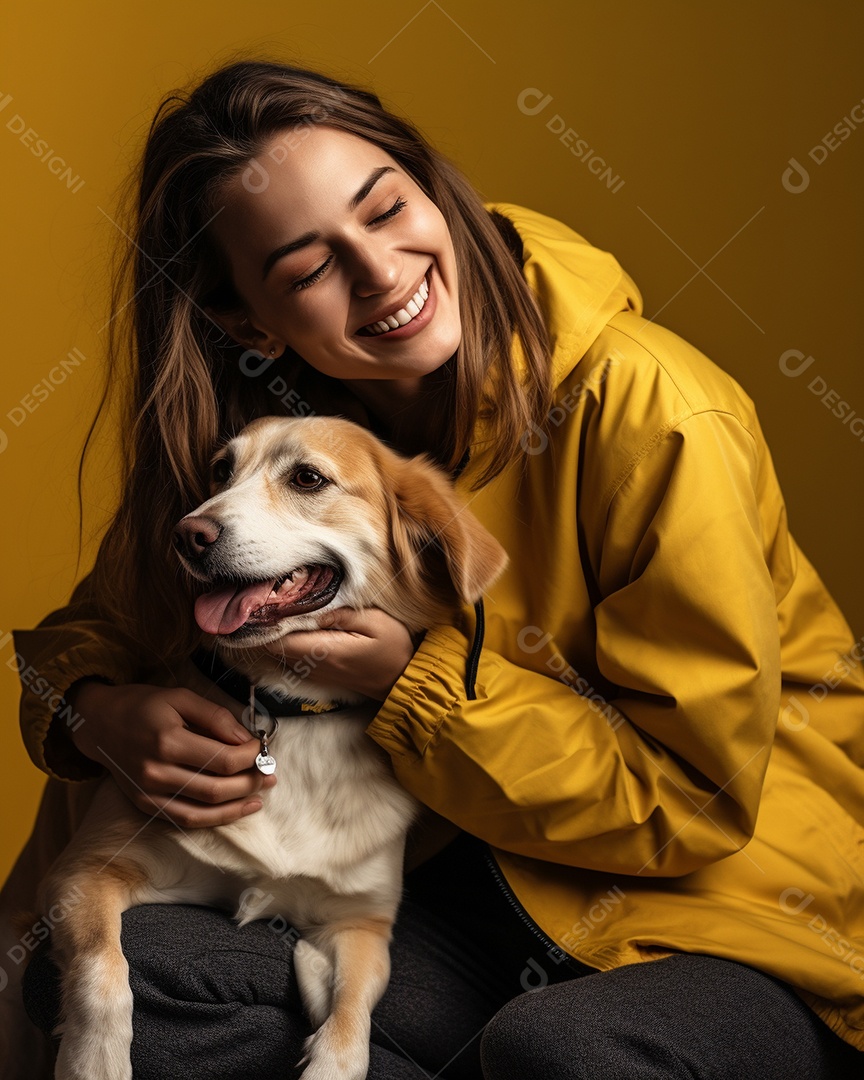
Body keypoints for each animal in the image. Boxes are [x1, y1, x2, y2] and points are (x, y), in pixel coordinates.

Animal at [40, 414, 509, 1080]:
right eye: (220, 471)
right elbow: (104, 971)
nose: (188, 535)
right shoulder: (85, 871)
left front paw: (326, 1036)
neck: (294, 710)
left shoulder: (362, 926)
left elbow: (350, 1028)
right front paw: (94, 1061)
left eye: (308, 478)